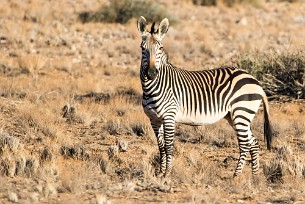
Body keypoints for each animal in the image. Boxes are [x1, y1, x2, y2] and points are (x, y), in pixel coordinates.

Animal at [137, 16, 272, 178]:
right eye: (142, 48)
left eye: (160, 48)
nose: (151, 73)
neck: (152, 88)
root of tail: (255, 80)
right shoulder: (154, 119)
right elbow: (161, 146)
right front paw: (160, 173)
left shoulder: (169, 117)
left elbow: (169, 146)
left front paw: (167, 173)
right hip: (234, 116)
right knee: (254, 142)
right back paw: (255, 176)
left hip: (241, 112)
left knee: (245, 144)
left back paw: (236, 175)